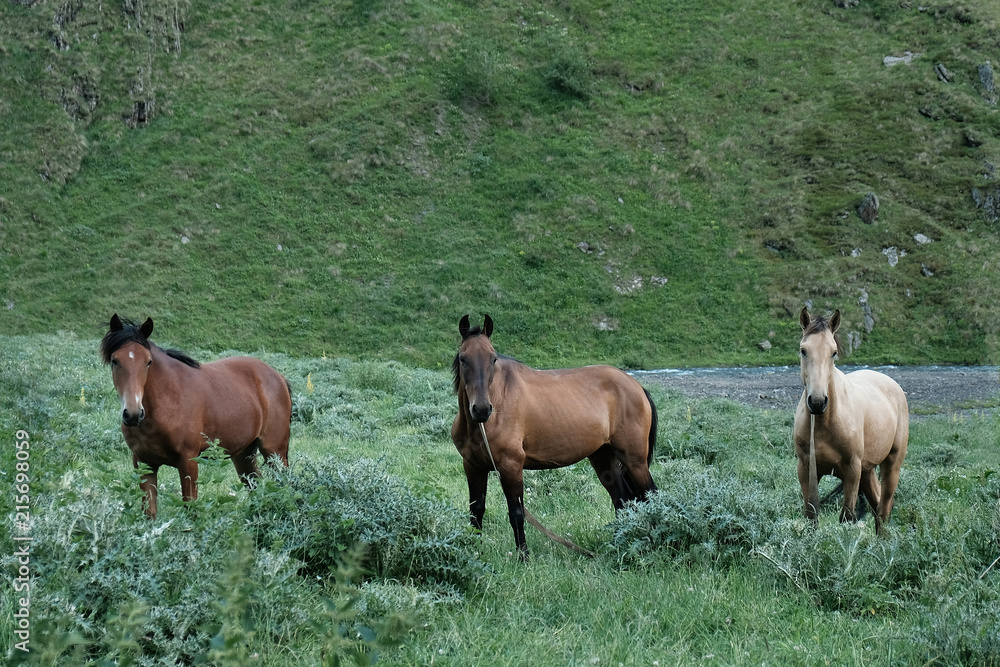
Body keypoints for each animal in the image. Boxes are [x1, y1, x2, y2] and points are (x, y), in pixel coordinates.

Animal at [100, 316, 292, 520]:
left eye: (148, 362)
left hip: (274, 452)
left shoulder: (188, 462)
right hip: (244, 455)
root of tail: (277, 376)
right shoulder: (144, 464)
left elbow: (191, 509)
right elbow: (150, 513)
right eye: (114, 360)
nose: (133, 414)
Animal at [452, 314, 656, 560]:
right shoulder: (473, 467)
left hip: (635, 461)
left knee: (650, 496)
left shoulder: (511, 466)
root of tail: (637, 386)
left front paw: (524, 557)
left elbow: (516, 513)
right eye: (463, 358)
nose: (481, 409)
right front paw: (473, 552)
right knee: (622, 500)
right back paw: (618, 545)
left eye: (493, 358)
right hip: (603, 459)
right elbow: (476, 511)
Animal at [792, 310, 912, 536]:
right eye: (804, 350)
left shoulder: (852, 470)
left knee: (884, 507)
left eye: (833, 352)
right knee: (877, 506)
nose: (818, 402)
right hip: (867, 471)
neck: (825, 424)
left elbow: (847, 517)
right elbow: (811, 516)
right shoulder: (806, 469)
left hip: (891, 464)